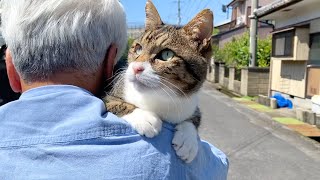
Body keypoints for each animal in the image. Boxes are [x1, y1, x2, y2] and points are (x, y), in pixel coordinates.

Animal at [106, 0, 214, 163]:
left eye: (167, 54)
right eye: (138, 48)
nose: (136, 68)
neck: (161, 98)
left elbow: (195, 116)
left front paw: (188, 140)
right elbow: (111, 102)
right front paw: (143, 117)